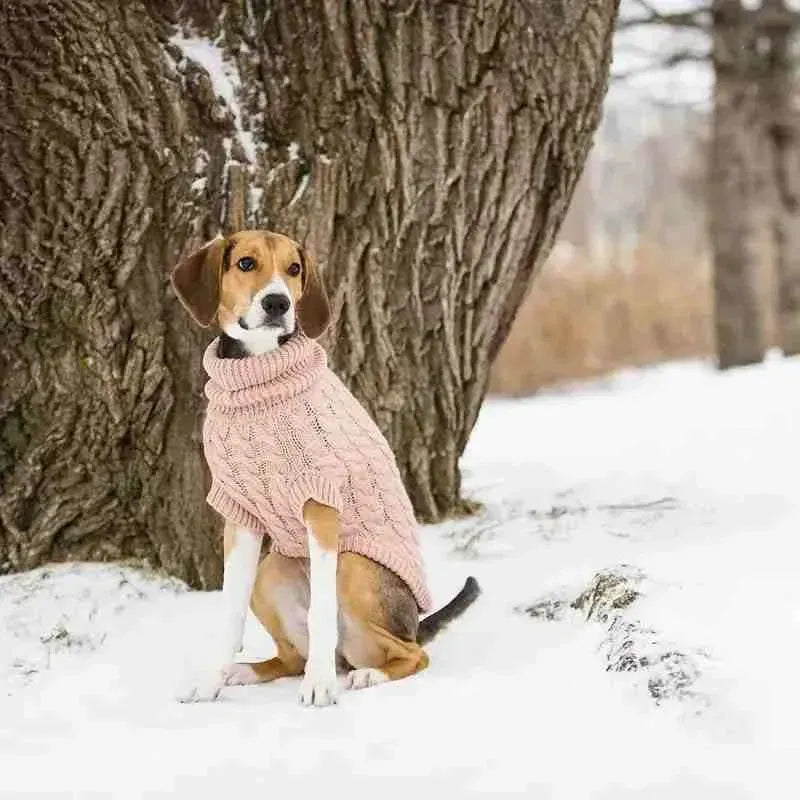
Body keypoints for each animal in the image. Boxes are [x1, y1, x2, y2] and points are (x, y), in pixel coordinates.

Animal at [171, 231, 478, 708]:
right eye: (245, 263)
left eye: (294, 269)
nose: (278, 303)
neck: (259, 374)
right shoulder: (238, 513)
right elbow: (229, 613)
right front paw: (210, 682)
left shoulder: (320, 503)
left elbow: (320, 613)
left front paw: (319, 687)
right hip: (270, 572)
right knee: (292, 657)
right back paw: (248, 671)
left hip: (353, 565)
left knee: (411, 653)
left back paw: (366, 674)